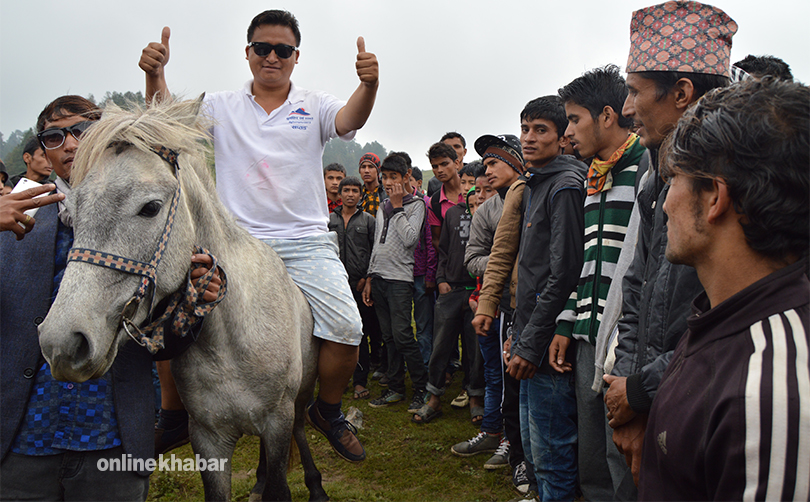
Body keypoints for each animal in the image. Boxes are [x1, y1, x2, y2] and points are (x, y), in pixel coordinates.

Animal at [34, 98, 326, 502]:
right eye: (72, 212)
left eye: (151, 207)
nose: (62, 343)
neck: (227, 342)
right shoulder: (208, 438)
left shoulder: (277, 421)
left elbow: (280, 483)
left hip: (300, 398)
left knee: (300, 428)